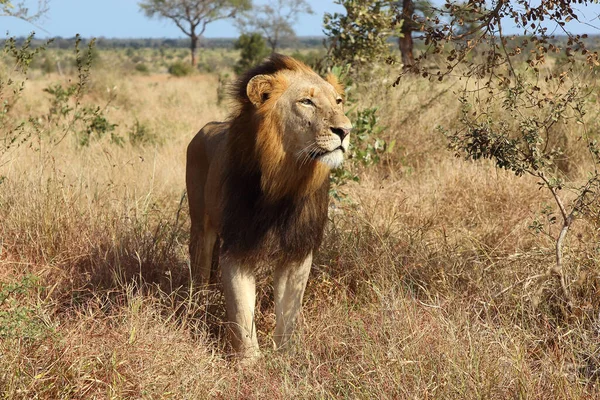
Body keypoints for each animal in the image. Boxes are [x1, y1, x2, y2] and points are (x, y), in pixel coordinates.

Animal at [185, 54, 350, 360]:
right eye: (306, 102)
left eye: (338, 101)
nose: (346, 131)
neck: (284, 181)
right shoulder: (237, 246)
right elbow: (241, 312)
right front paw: (249, 361)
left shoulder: (298, 250)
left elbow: (288, 312)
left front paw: (286, 357)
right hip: (201, 226)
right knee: (199, 271)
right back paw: (198, 309)